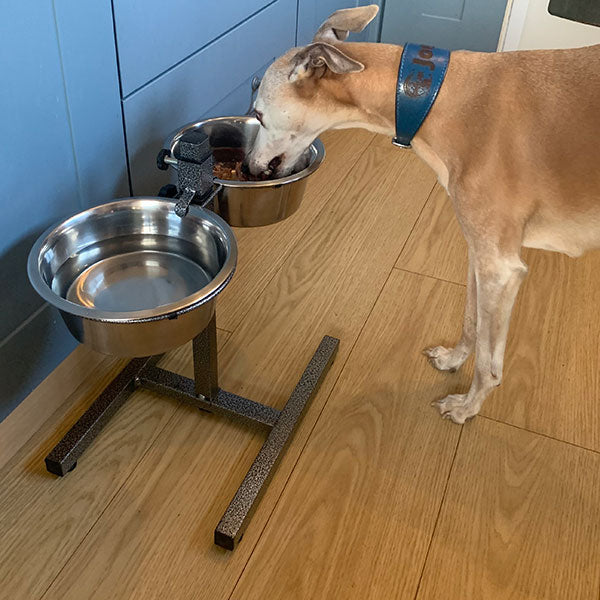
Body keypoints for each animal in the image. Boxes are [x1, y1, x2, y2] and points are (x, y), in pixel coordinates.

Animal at [245, 7, 600, 424]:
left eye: (258, 114)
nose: (248, 168)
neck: (439, 97)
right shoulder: (479, 253)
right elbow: (471, 321)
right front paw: (452, 359)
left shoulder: (501, 268)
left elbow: (489, 364)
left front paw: (466, 407)